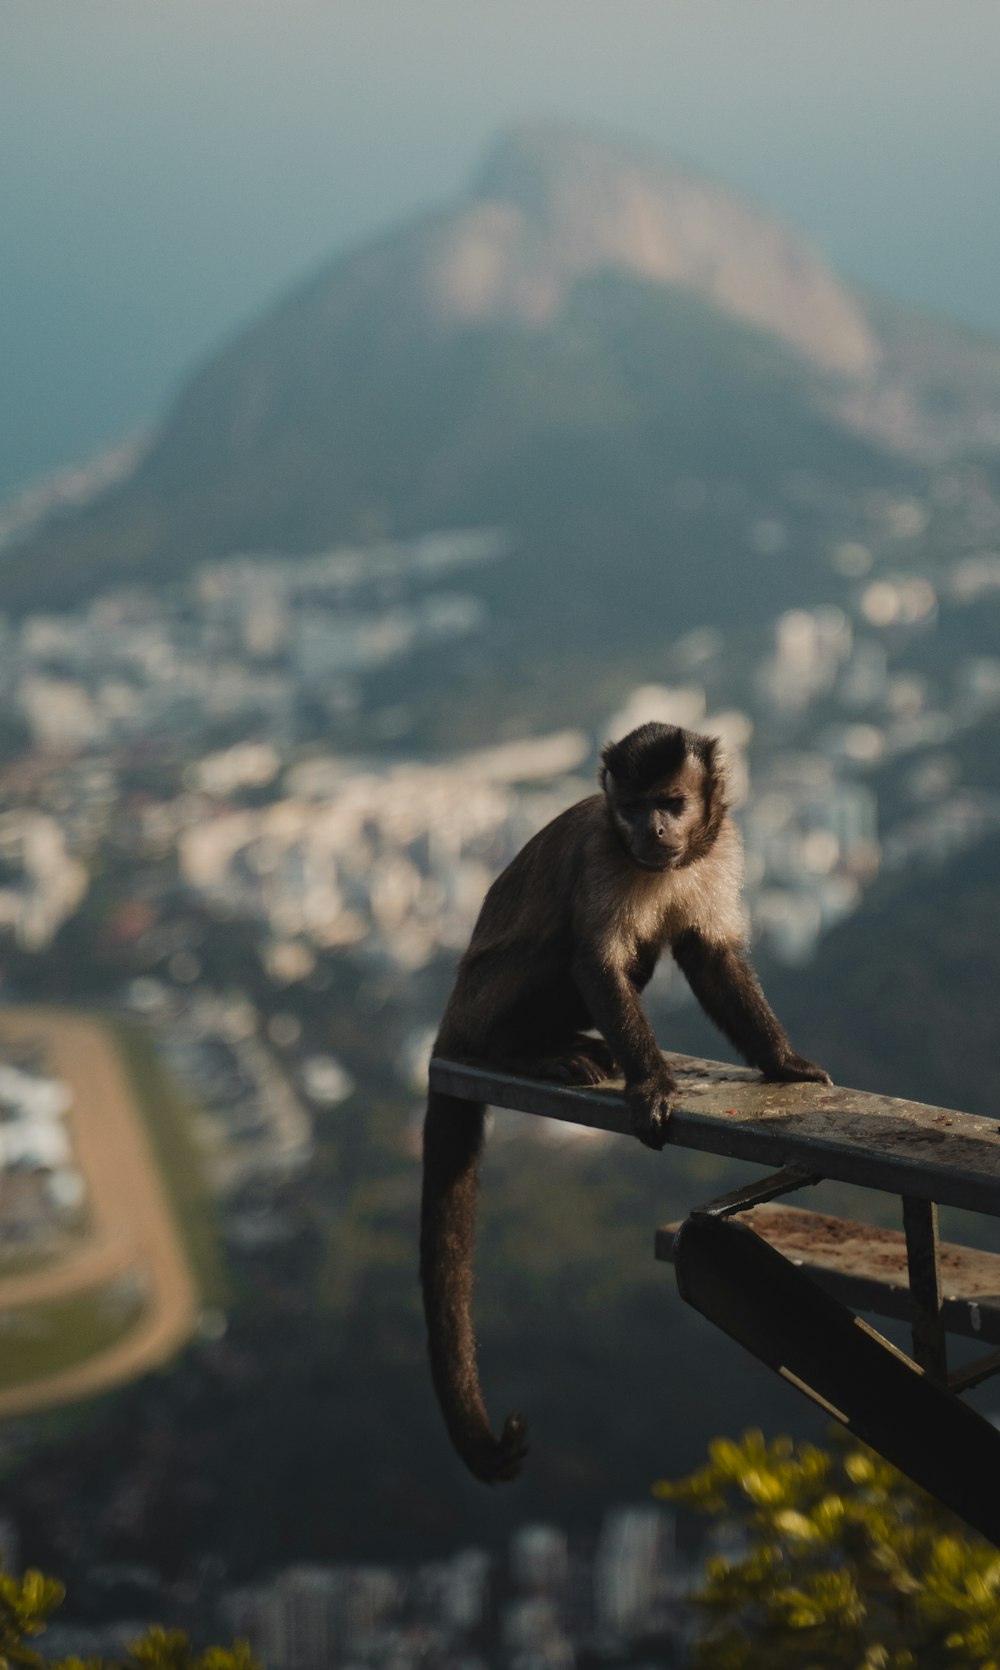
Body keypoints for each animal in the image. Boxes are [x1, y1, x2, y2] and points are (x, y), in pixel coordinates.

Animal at [420, 724, 828, 1482]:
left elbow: (709, 954)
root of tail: (450, 1022)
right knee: (568, 946)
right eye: (634, 807)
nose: (654, 829)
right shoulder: (602, 856)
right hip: (484, 1002)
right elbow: (598, 962)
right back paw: (528, 1053)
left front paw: (783, 1062)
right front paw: (654, 1088)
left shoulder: (719, 849)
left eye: (671, 802)